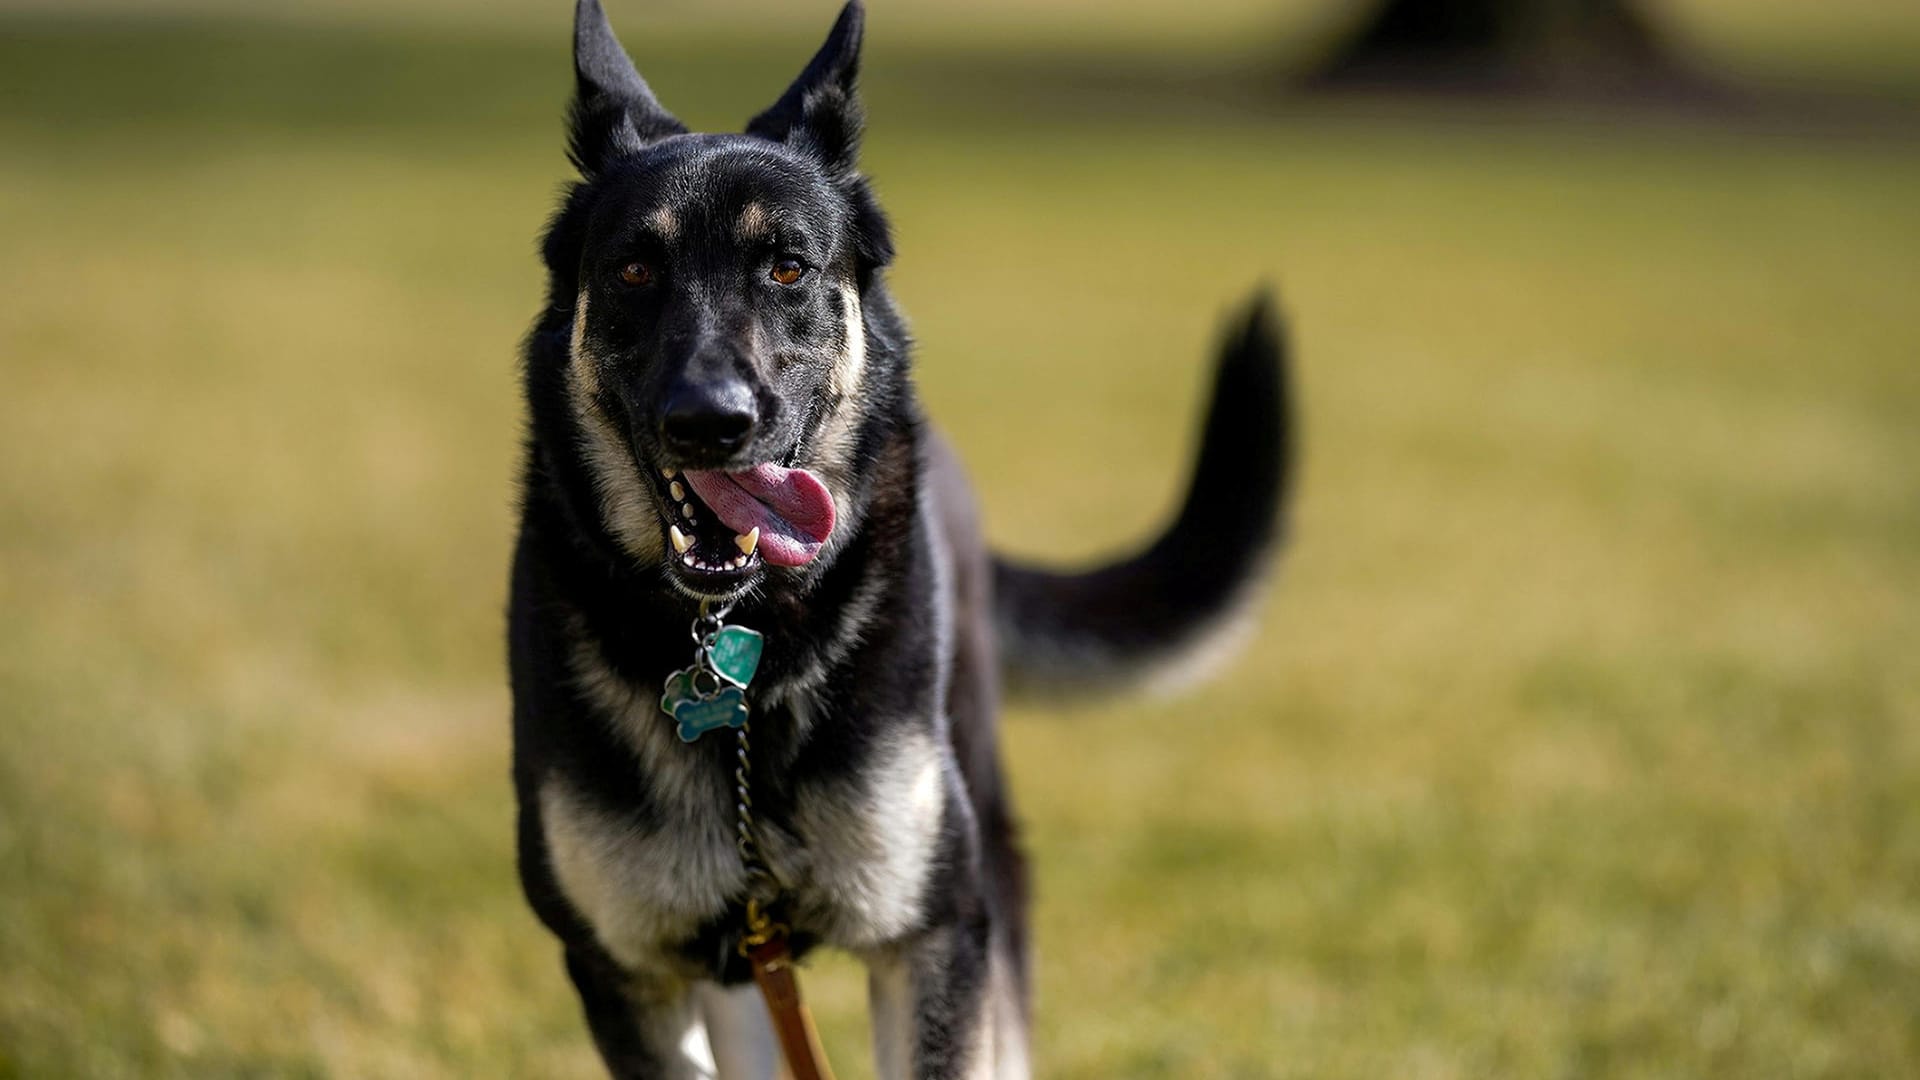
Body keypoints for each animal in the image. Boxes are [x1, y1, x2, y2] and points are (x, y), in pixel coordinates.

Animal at [510, 4, 1290, 1068]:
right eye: (633, 270)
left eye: (788, 268)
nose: (709, 423)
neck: (743, 651)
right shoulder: (628, 973)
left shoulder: (933, 934)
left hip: (985, 849)